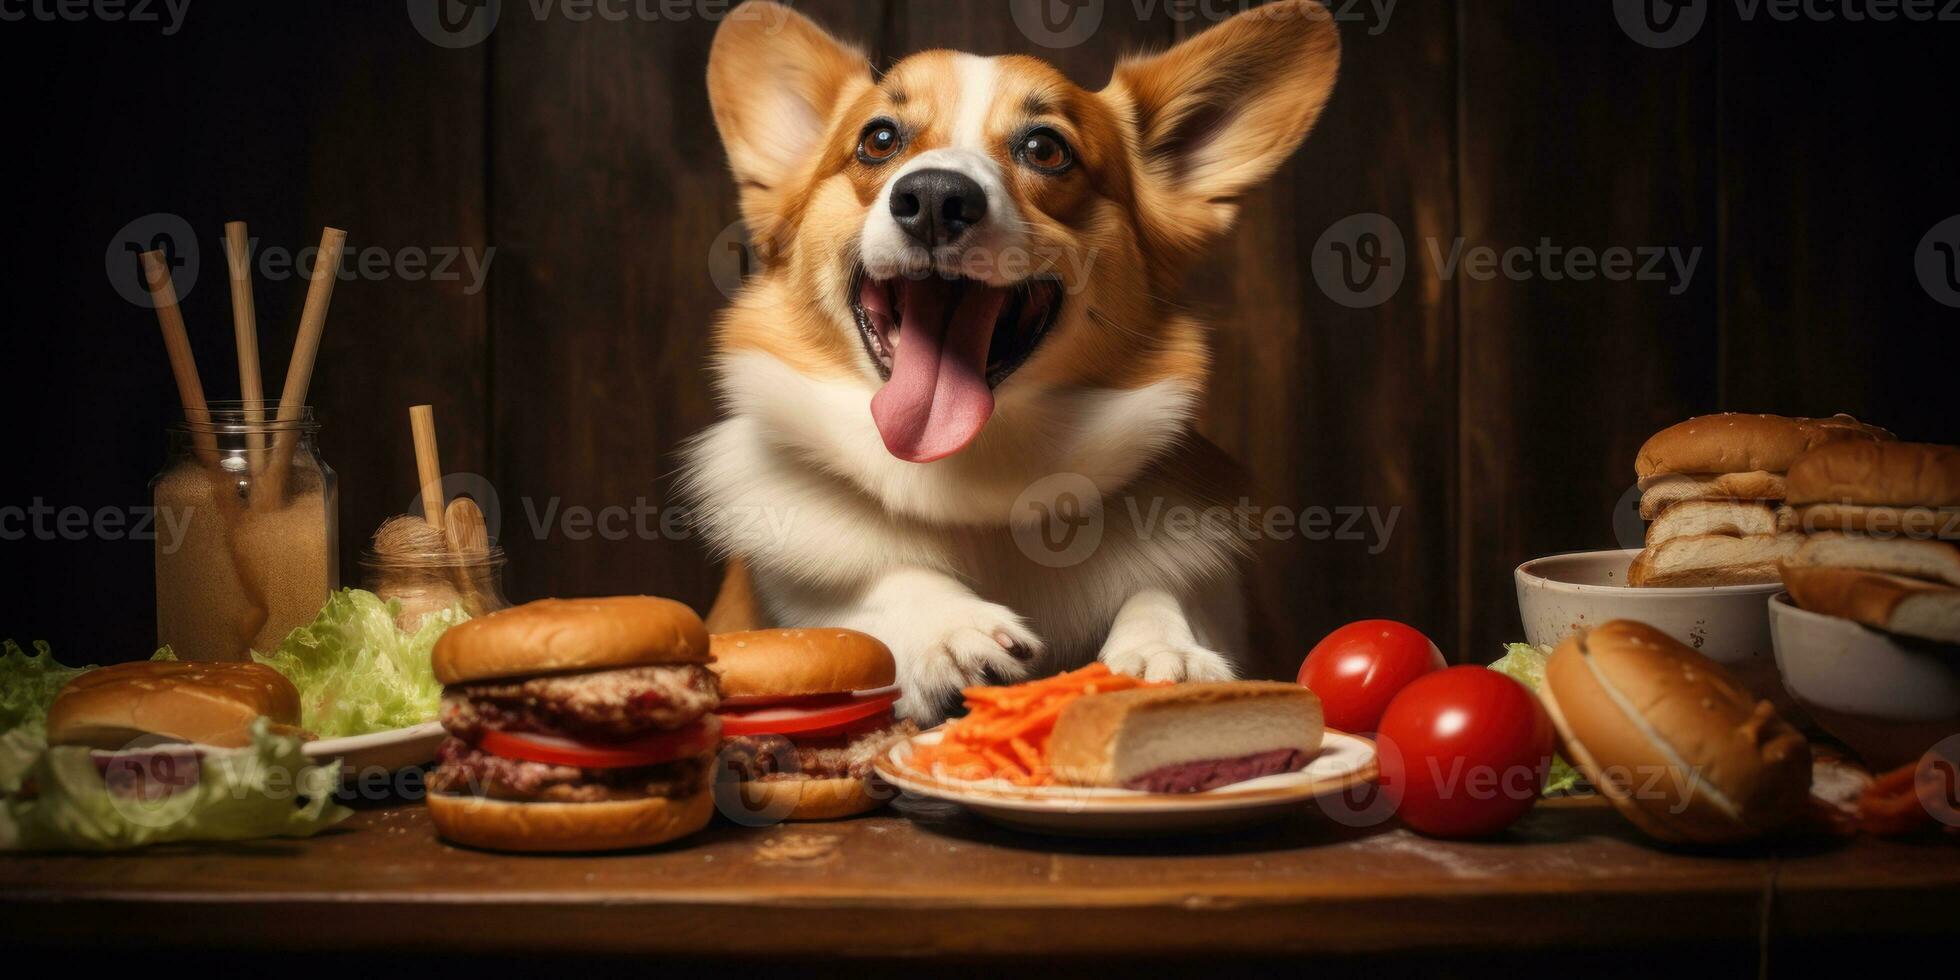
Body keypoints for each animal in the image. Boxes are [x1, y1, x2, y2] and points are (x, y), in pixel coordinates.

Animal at [682, 0, 1340, 721]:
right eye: (879, 140)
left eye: (1046, 149)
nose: (935, 198)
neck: (981, 491)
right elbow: (875, 582)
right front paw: (949, 629)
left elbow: (1164, 593)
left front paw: (1165, 651)